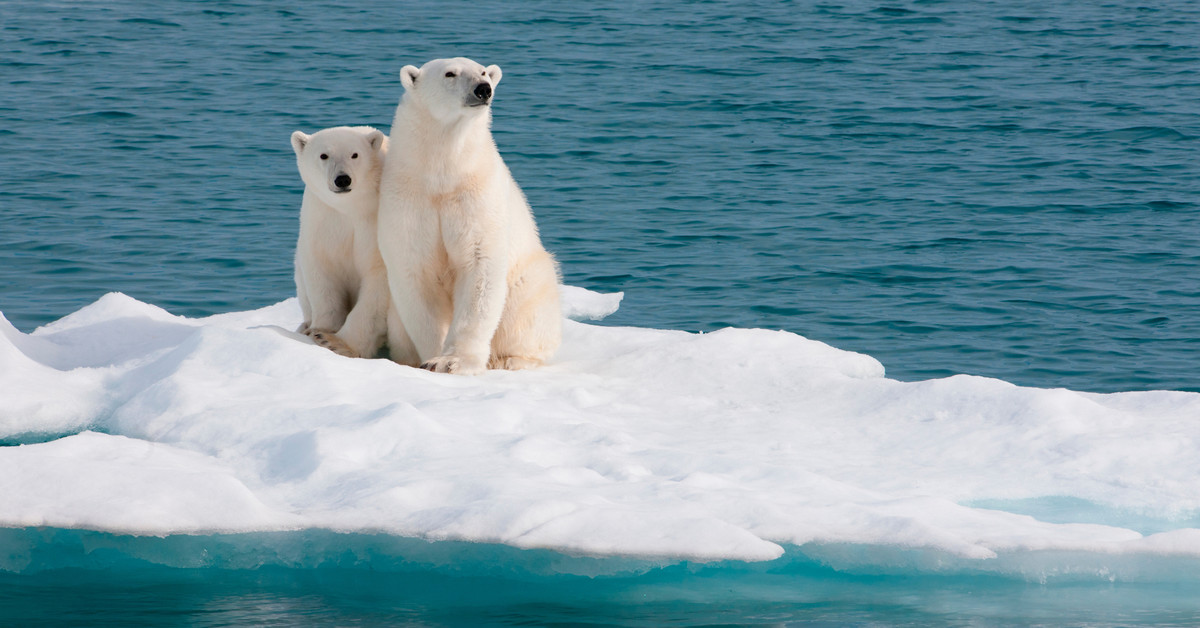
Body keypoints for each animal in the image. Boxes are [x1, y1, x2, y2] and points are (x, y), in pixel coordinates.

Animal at [376, 57, 559, 374]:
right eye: (450, 73)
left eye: (483, 71)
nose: (483, 89)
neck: (442, 174)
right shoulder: (408, 200)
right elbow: (416, 273)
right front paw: (432, 357)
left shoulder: (476, 196)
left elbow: (479, 265)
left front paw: (452, 361)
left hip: (529, 278)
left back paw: (510, 359)